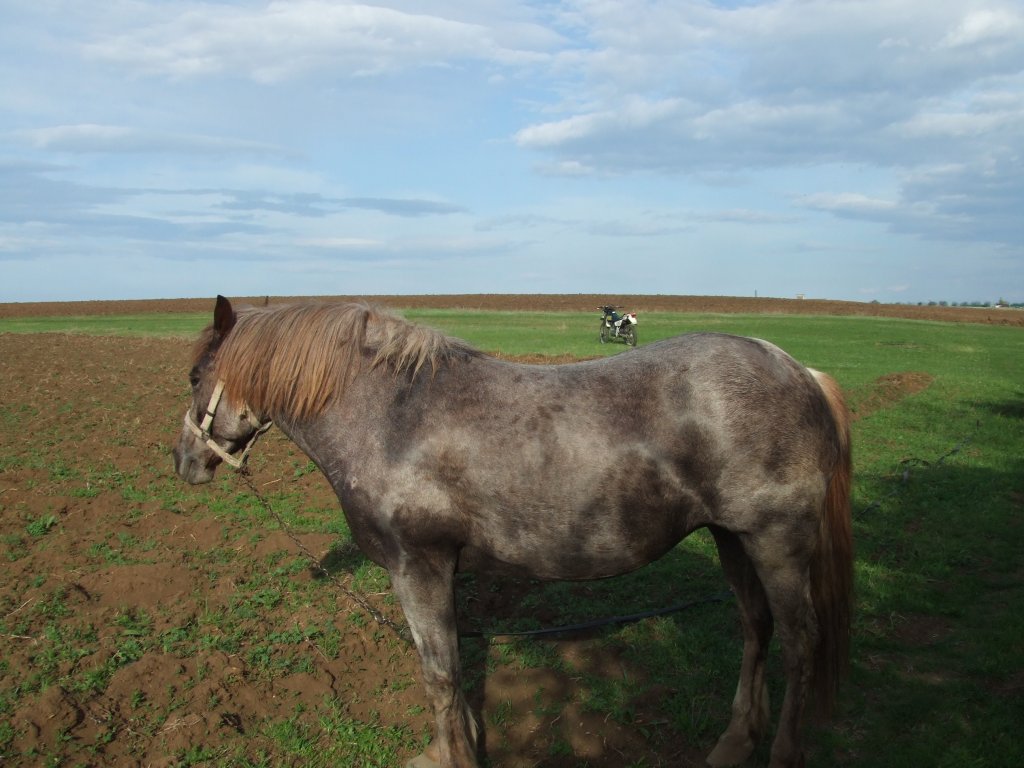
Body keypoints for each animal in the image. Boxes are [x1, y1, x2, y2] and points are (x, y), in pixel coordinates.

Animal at [172, 296, 851, 768]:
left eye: (195, 374)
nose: (184, 462)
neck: (390, 417)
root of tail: (799, 371)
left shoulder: (417, 566)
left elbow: (439, 674)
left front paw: (452, 757)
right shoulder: (438, 573)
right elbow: (450, 666)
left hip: (775, 541)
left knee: (800, 640)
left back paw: (782, 752)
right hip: (732, 538)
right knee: (756, 627)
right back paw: (735, 741)